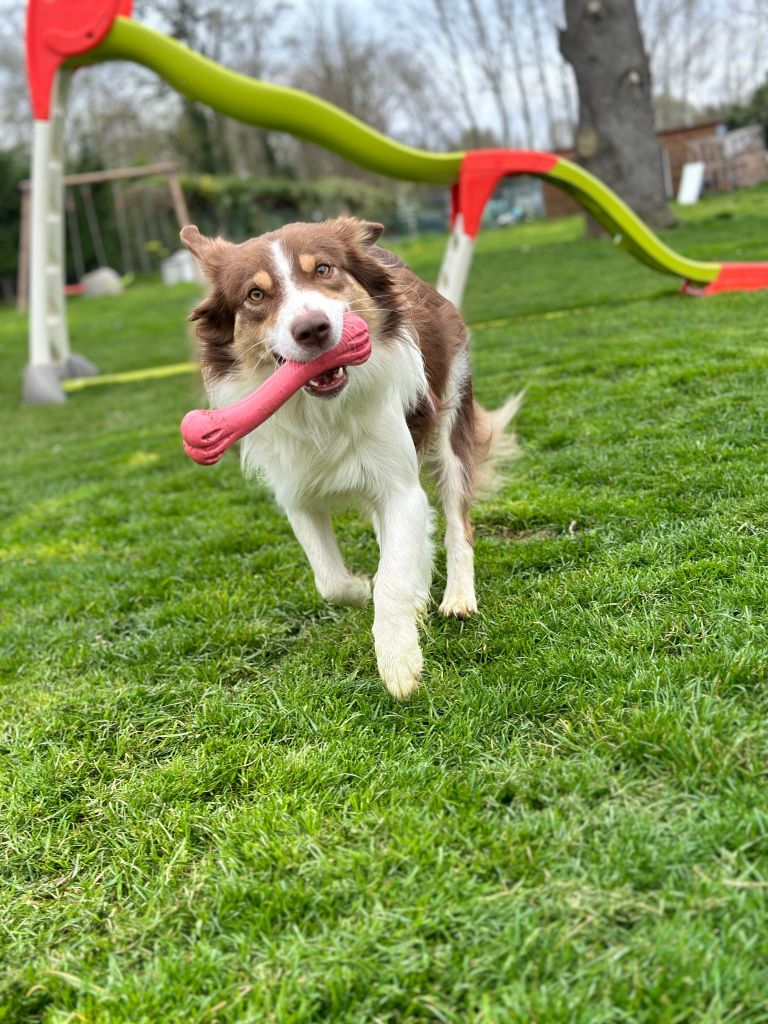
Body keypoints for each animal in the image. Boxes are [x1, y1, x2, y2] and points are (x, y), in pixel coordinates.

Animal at [180, 215, 520, 696]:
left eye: (323, 270)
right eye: (255, 295)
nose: (312, 329)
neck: (322, 411)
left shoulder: (400, 487)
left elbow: (392, 577)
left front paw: (398, 659)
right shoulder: (296, 494)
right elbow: (331, 581)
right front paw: (363, 588)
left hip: (451, 420)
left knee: (458, 522)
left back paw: (457, 597)